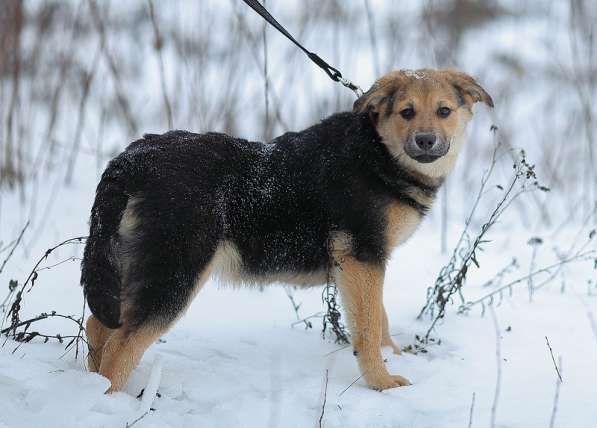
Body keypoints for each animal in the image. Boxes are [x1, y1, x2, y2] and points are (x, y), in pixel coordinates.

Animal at [79, 68, 492, 392]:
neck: (377, 151)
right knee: (121, 347)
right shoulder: (363, 258)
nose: (426, 141)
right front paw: (383, 383)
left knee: (98, 326)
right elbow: (369, 326)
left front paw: (395, 356)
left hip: (134, 264)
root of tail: (134, 158)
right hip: (176, 274)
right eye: (407, 112)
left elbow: (380, 318)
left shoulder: (363, 265)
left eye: (444, 111)